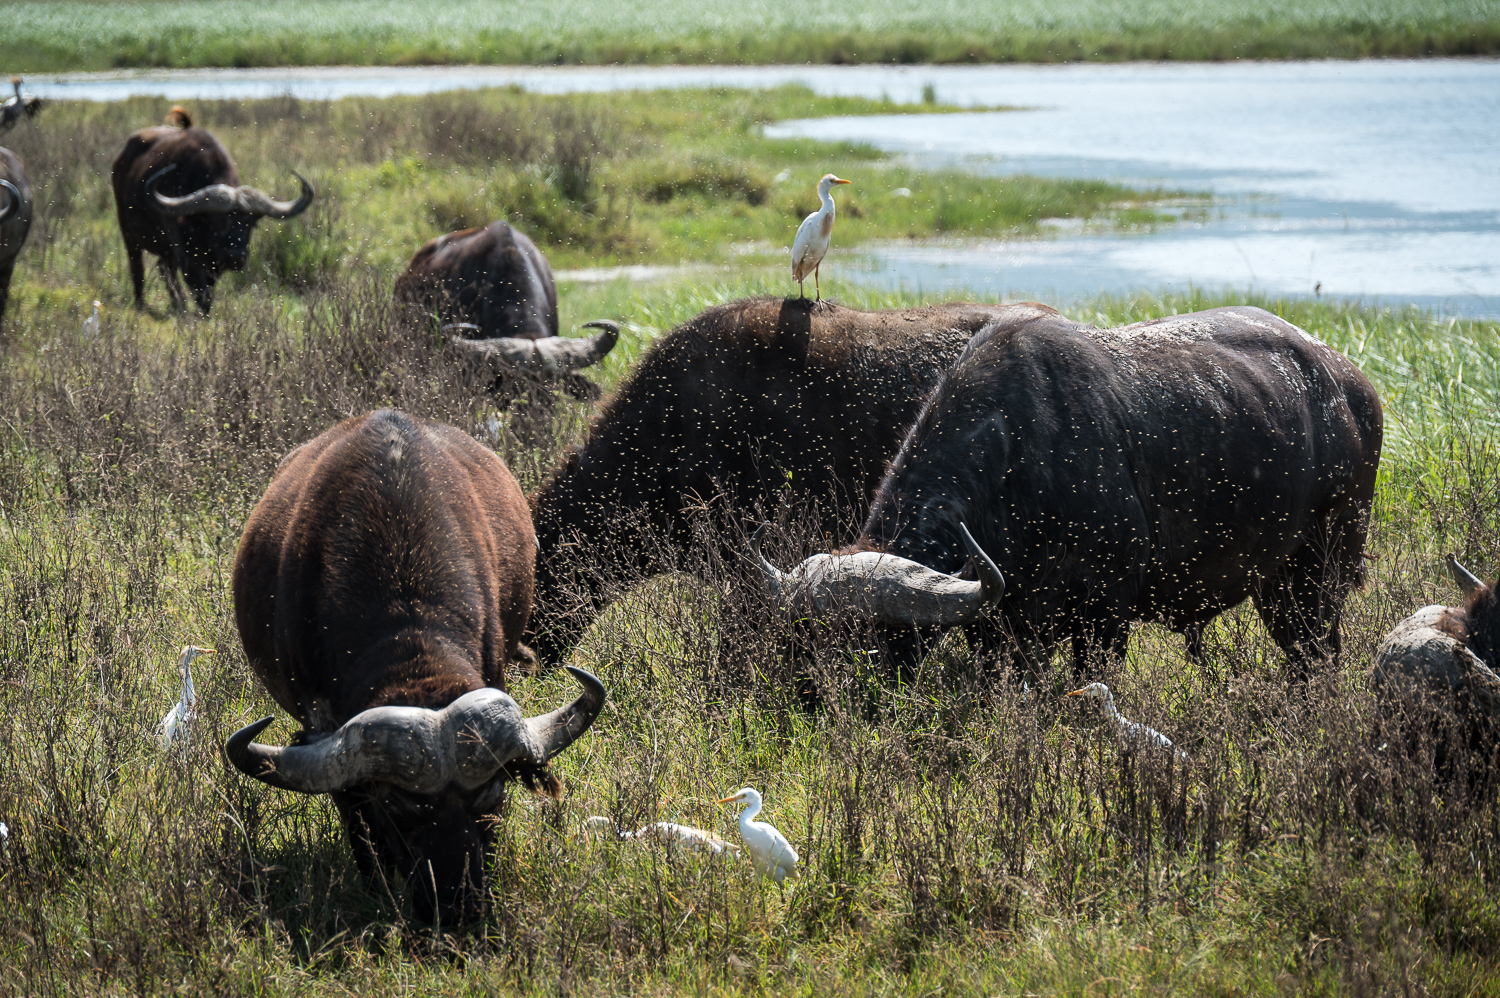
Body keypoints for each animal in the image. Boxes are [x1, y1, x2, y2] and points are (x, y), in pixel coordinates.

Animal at [111, 107, 313, 313]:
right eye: (219, 222)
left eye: (251, 225)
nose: (236, 257)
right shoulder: (187, 258)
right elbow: (202, 293)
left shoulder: (215, 264)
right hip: (128, 234)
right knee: (138, 269)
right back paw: (141, 304)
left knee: (164, 268)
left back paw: (178, 305)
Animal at [762, 303, 1380, 678]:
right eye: (808, 638)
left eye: (870, 639)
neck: (1017, 465)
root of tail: (1352, 386)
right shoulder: (999, 627)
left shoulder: (1105, 613)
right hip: (1276, 582)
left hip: (1321, 568)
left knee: (1319, 650)